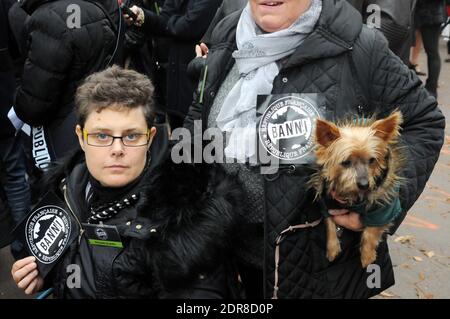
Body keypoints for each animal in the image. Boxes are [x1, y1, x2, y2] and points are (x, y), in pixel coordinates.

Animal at [312, 111, 404, 268]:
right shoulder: (326, 201)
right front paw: (332, 248)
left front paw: (367, 256)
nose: (364, 184)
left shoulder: (383, 208)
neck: (352, 195)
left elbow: (371, 231)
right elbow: (329, 222)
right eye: (346, 162)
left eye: (372, 160)